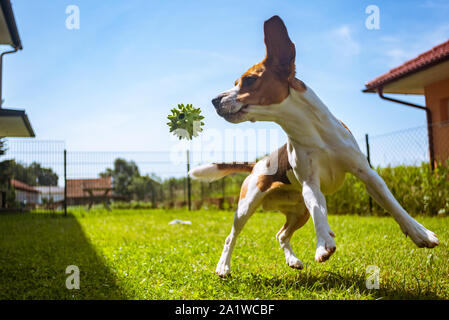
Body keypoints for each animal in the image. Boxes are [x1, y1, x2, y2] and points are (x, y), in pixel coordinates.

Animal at [189, 15, 438, 276]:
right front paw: (323, 245)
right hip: (247, 205)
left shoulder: (367, 174)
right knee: (232, 236)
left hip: (299, 212)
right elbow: (320, 210)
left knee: (281, 235)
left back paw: (293, 260)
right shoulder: (310, 183)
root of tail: (258, 164)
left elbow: (394, 206)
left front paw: (420, 233)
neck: (312, 132)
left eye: (248, 80)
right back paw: (223, 266)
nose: (214, 100)